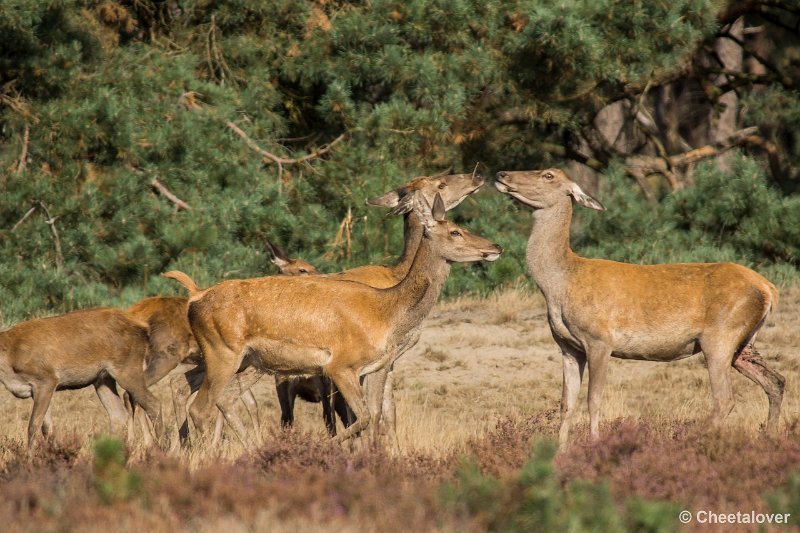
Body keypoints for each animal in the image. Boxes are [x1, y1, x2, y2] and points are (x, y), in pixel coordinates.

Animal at [0, 306, 163, 446]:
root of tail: (143, 328)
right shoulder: (39, 389)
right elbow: (48, 428)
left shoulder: (46, 379)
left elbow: (33, 426)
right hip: (102, 379)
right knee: (118, 416)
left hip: (127, 369)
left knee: (153, 403)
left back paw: (161, 447)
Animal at [166, 192, 504, 444]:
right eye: (455, 231)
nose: (496, 246)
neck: (387, 313)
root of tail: (194, 299)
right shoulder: (340, 365)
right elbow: (362, 418)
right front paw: (326, 448)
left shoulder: (374, 366)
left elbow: (372, 416)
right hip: (222, 351)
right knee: (201, 407)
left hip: (251, 361)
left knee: (217, 398)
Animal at [494, 168, 788, 446]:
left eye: (548, 175)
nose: (501, 174)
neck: (560, 286)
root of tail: (769, 289)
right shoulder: (567, 347)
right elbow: (566, 404)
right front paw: (560, 451)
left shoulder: (599, 339)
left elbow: (594, 400)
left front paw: (593, 444)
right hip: (744, 344)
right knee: (775, 382)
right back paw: (769, 437)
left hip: (721, 334)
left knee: (725, 399)